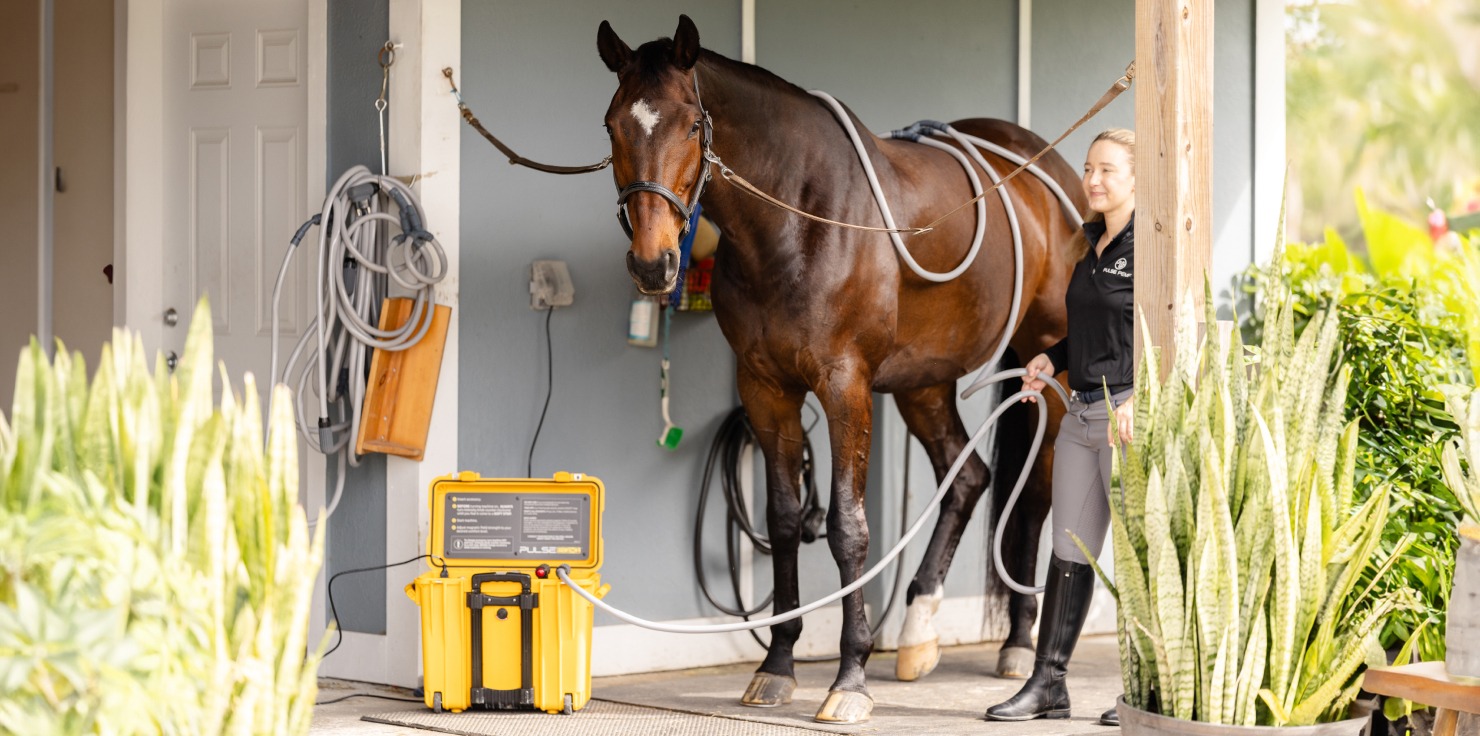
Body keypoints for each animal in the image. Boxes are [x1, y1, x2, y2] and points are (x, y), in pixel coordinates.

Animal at [596, 16, 1083, 724]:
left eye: (690, 124)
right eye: (612, 125)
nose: (653, 262)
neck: (796, 217)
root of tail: (1054, 170)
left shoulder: (845, 386)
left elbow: (848, 529)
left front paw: (849, 679)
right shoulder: (765, 388)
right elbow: (782, 519)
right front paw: (776, 666)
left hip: (1048, 369)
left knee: (1035, 493)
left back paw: (1018, 644)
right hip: (923, 381)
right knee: (968, 477)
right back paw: (918, 631)